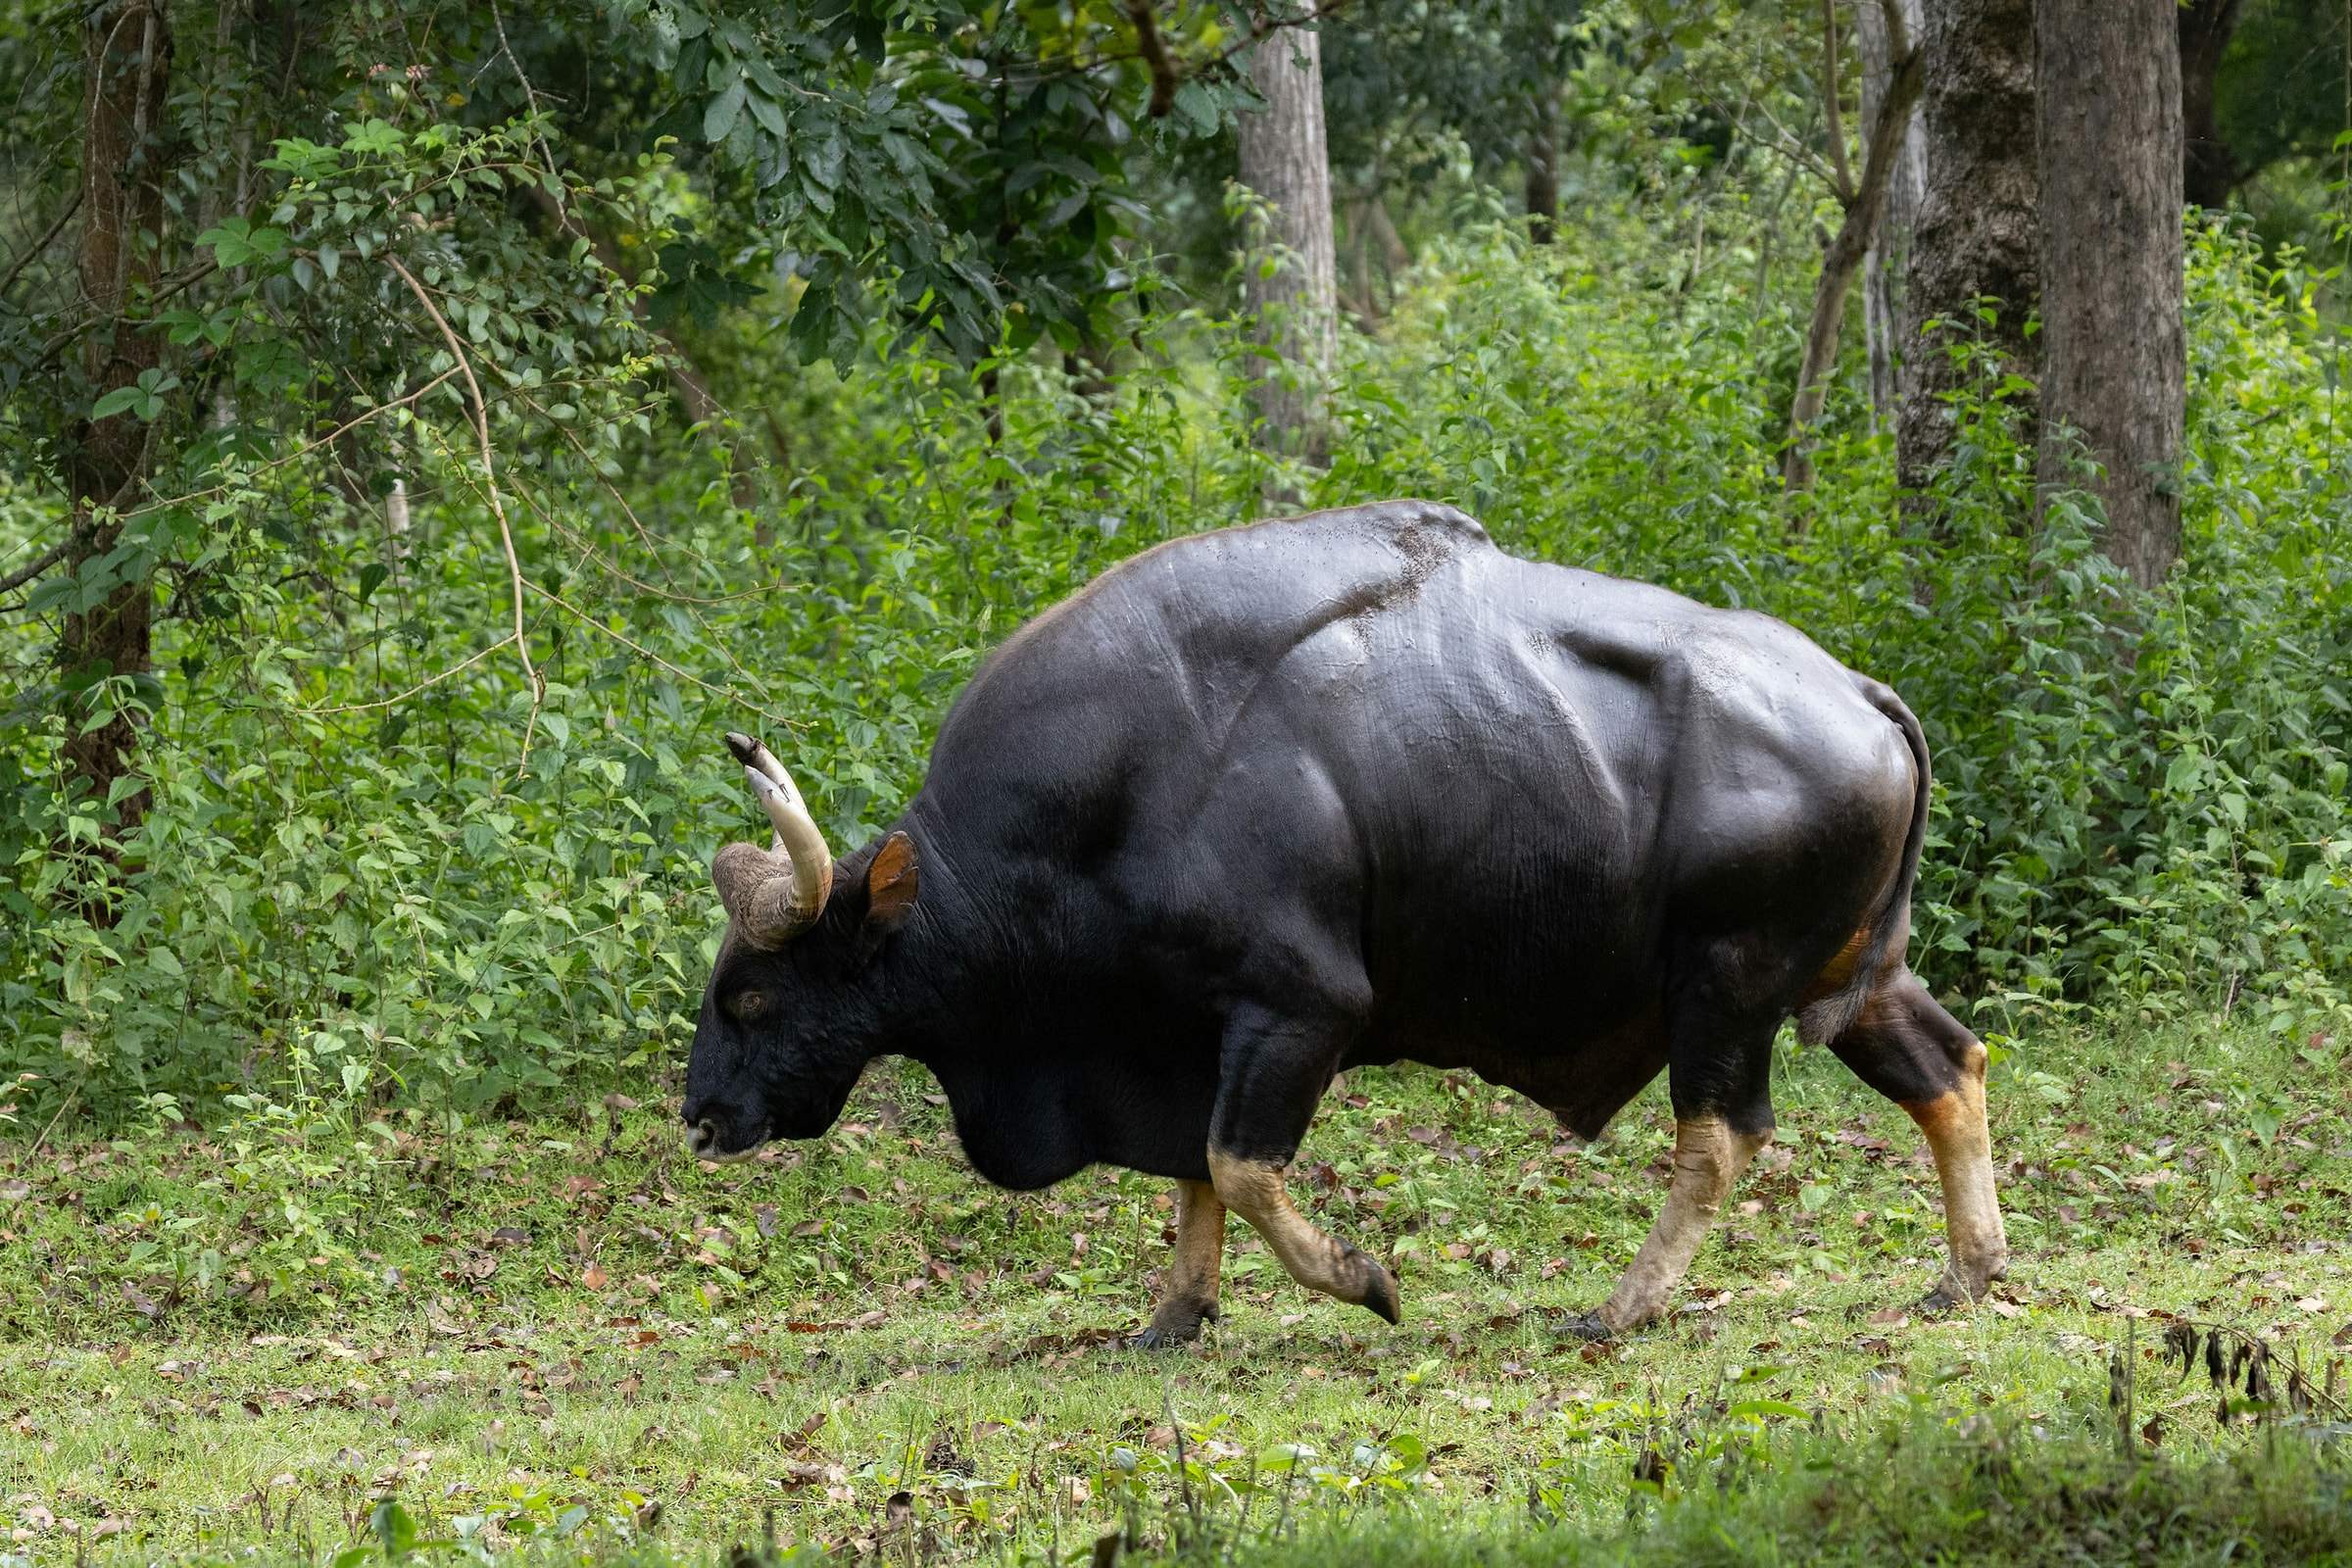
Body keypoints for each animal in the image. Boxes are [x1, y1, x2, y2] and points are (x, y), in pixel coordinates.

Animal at [683, 501, 2007, 1343]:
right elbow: (1194, 1178)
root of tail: (1858, 693)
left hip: (1727, 987)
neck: (1122, 790)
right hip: (1850, 976)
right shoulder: (1185, 1029)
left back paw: (1623, 1307)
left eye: (752, 992)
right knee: (1950, 1064)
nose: (699, 1118)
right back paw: (1970, 1271)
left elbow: (1240, 1165)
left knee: (1721, 1135)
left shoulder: (1299, 1007)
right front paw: (1172, 1316)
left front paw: (1367, 1281)